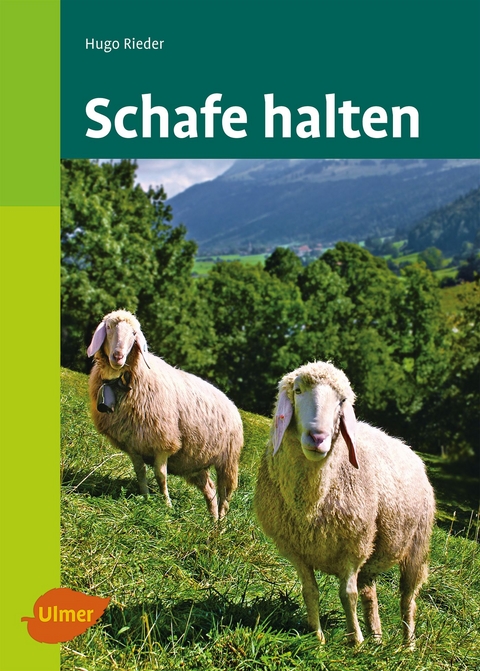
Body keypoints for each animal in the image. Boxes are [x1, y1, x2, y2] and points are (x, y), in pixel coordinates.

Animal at [87, 310, 243, 520]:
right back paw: (212, 520)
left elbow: (160, 475)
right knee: (210, 490)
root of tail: (231, 402)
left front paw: (166, 506)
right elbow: (141, 473)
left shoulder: (163, 441)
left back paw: (222, 523)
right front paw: (145, 499)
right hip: (195, 462)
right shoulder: (132, 443)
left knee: (225, 495)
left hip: (227, 460)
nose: (118, 356)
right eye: (110, 327)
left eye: (134, 334)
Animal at [254, 361, 435, 647]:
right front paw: (317, 638)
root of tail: (407, 447)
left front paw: (355, 641)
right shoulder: (295, 550)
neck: (310, 504)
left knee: (408, 598)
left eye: (342, 401)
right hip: (374, 553)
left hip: (416, 545)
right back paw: (376, 638)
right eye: (298, 390)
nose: (318, 437)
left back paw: (408, 644)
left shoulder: (354, 546)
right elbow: (310, 591)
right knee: (370, 592)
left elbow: (347, 594)